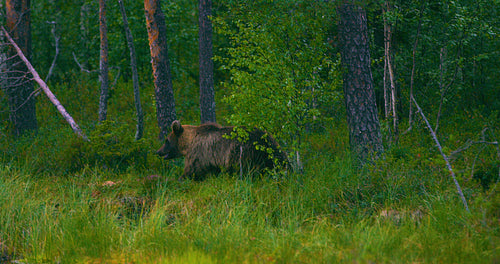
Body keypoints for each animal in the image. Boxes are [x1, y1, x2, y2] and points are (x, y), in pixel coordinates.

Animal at [156, 120, 290, 180]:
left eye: (166, 140)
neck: (189, 143)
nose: (158, 151)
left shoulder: (198, 153)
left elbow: (192, 170)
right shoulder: (212, 160)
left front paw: (180, 178)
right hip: (272, 152)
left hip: (242, 152)